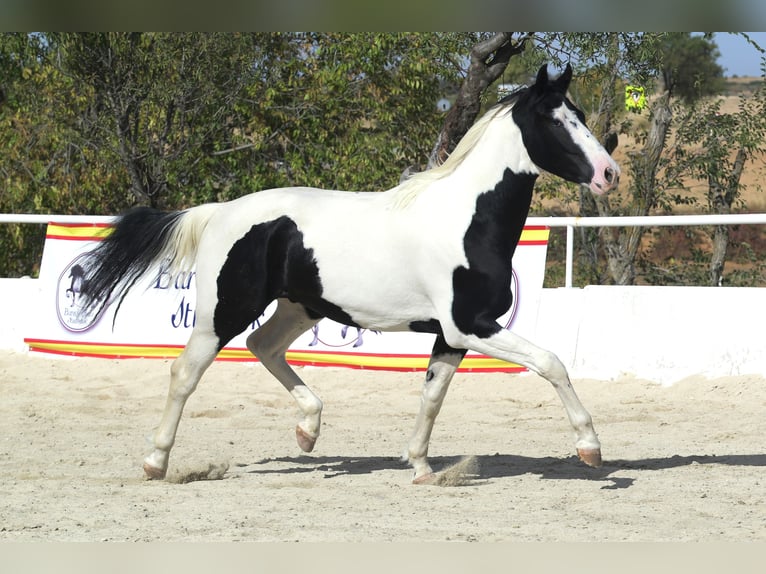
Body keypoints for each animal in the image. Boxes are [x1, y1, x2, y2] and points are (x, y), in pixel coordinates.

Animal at [80, 64, 619, 484]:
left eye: (581, 116)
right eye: (555, 120)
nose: (609, 174)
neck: (467, 219)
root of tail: (219, 212)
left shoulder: (452, 335)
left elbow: (432, 395)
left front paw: (420, 467)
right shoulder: (472, 326)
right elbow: (551, 363)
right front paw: (591, 448)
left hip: (299, 307)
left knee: (263, 346)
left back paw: (308, 431)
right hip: (224, 312)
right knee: (186, 371)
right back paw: (156, 462)